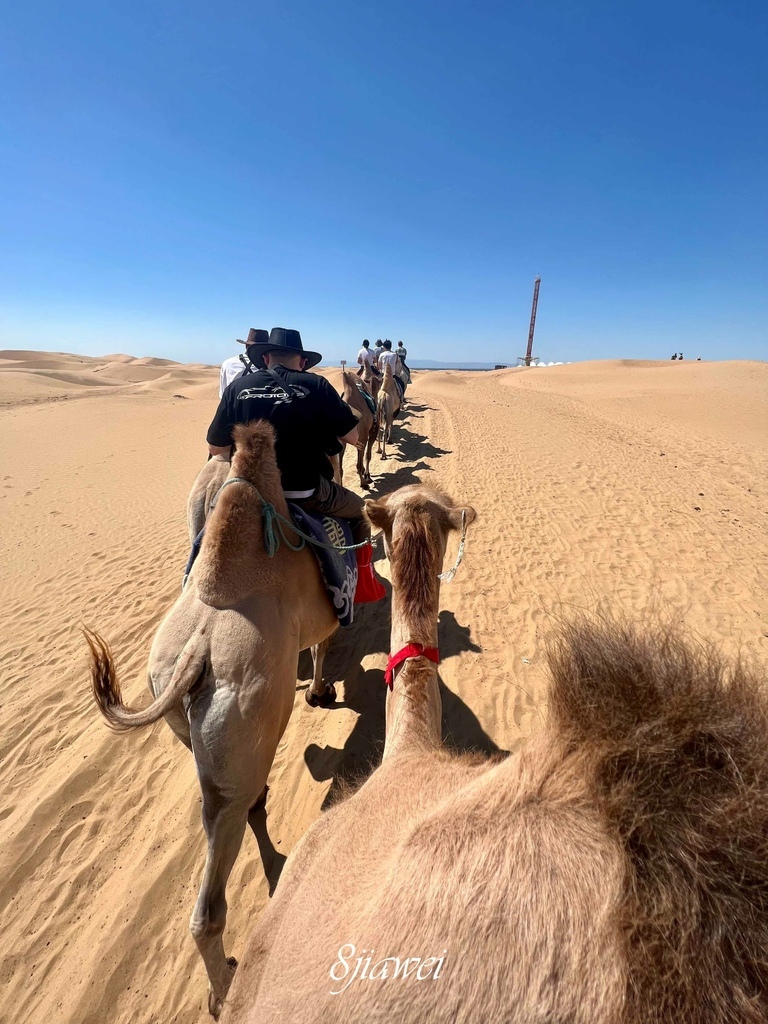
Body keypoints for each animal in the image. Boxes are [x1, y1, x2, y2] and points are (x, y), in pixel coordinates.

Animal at [83, 421, 342, 1015]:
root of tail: (197, 649)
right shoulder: (325, 618)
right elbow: (325, 646)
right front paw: (321, 692)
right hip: (242, 713)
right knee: (208, 910)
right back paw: (225, 993)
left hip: (191, 722)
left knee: (226, 804)